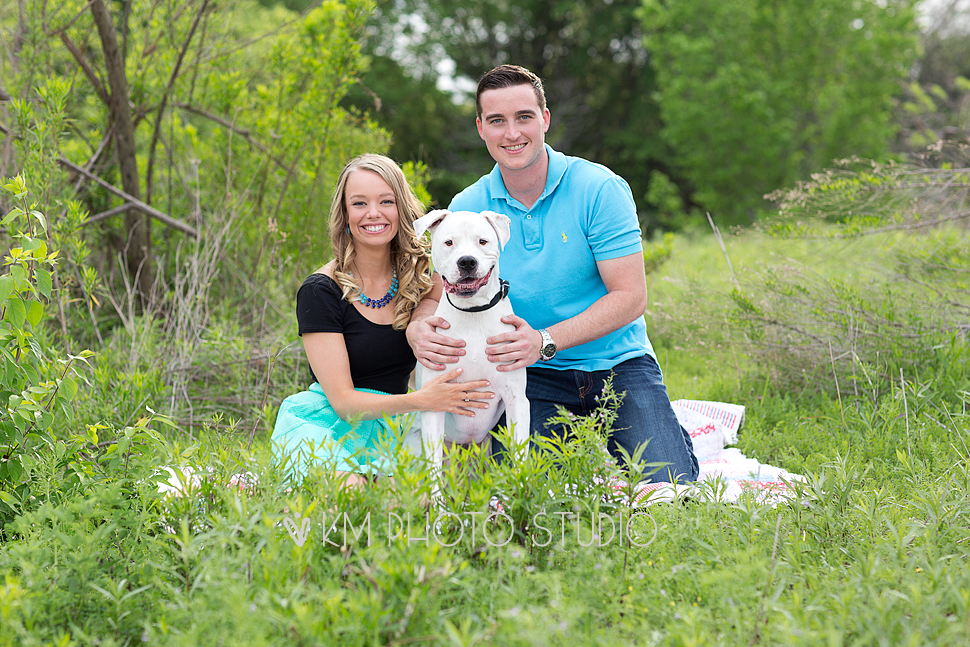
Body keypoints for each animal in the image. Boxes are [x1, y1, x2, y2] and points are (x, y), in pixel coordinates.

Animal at [406, 211, 532, 492]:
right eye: (449, 242)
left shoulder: (517, 400)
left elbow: (520, 461)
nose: (467, 261)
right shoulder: (434, 404)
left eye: (482, 241)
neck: (473, 312)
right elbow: (435, 474)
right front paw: (438, 507)